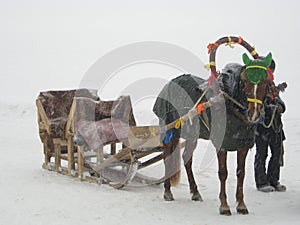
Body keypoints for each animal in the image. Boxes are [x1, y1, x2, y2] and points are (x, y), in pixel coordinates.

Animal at [154, 52, 274, 214]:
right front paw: (224, 206)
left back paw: (195, 192)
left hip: (192, 134)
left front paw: (241, 205)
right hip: (170, 130)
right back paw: (167, 191)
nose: (253, 113)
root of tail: (172, 81)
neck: (231, 107)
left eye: (265, 81)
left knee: (187, 158)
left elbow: (241, 173)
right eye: (244, 81)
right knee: (168, 156)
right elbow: (223, 173)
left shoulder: (243, 144)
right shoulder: (221, 144)